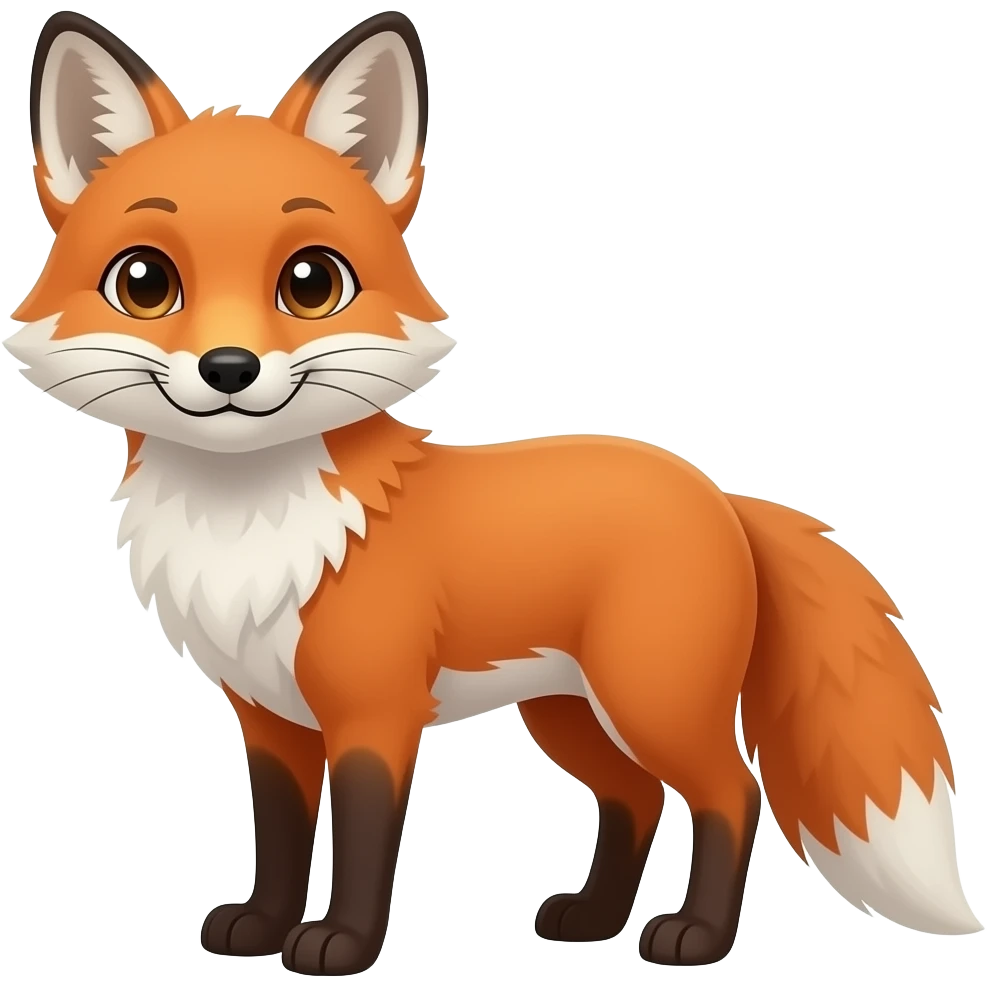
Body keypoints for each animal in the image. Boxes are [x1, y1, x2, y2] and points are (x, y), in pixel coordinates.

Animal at [5, 8, 981, 976]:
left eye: (311, 282)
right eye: (144, 282)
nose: (229, 368)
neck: (252, 522)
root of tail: (719, 493)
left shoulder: (376, 710)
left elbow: (364, 839)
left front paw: (340, 944)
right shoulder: (270, 719)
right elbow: (279, 836)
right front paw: (262, 924)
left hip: (648, 700)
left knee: (730, 793)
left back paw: (694, 937)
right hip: (569, 713)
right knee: (635, 797)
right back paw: (591, 917)